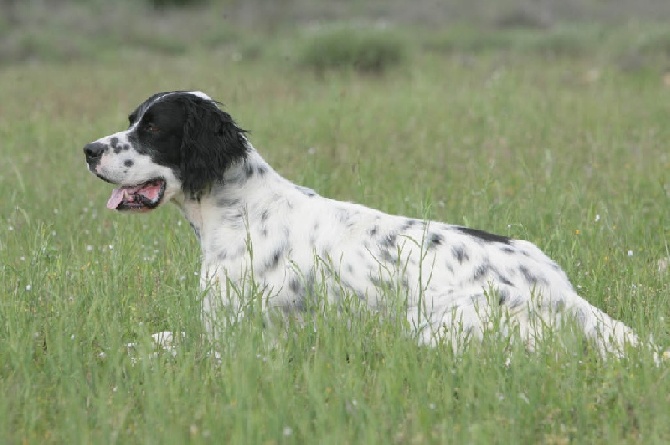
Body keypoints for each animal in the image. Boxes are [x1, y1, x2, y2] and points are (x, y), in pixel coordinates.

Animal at [82, 90, 660, 358]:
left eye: (152, 129)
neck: (239, 208)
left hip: (437, 328)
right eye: (132, 119)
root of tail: (564, 293)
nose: (88, 150)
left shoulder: (241, 340)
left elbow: (149, 343)